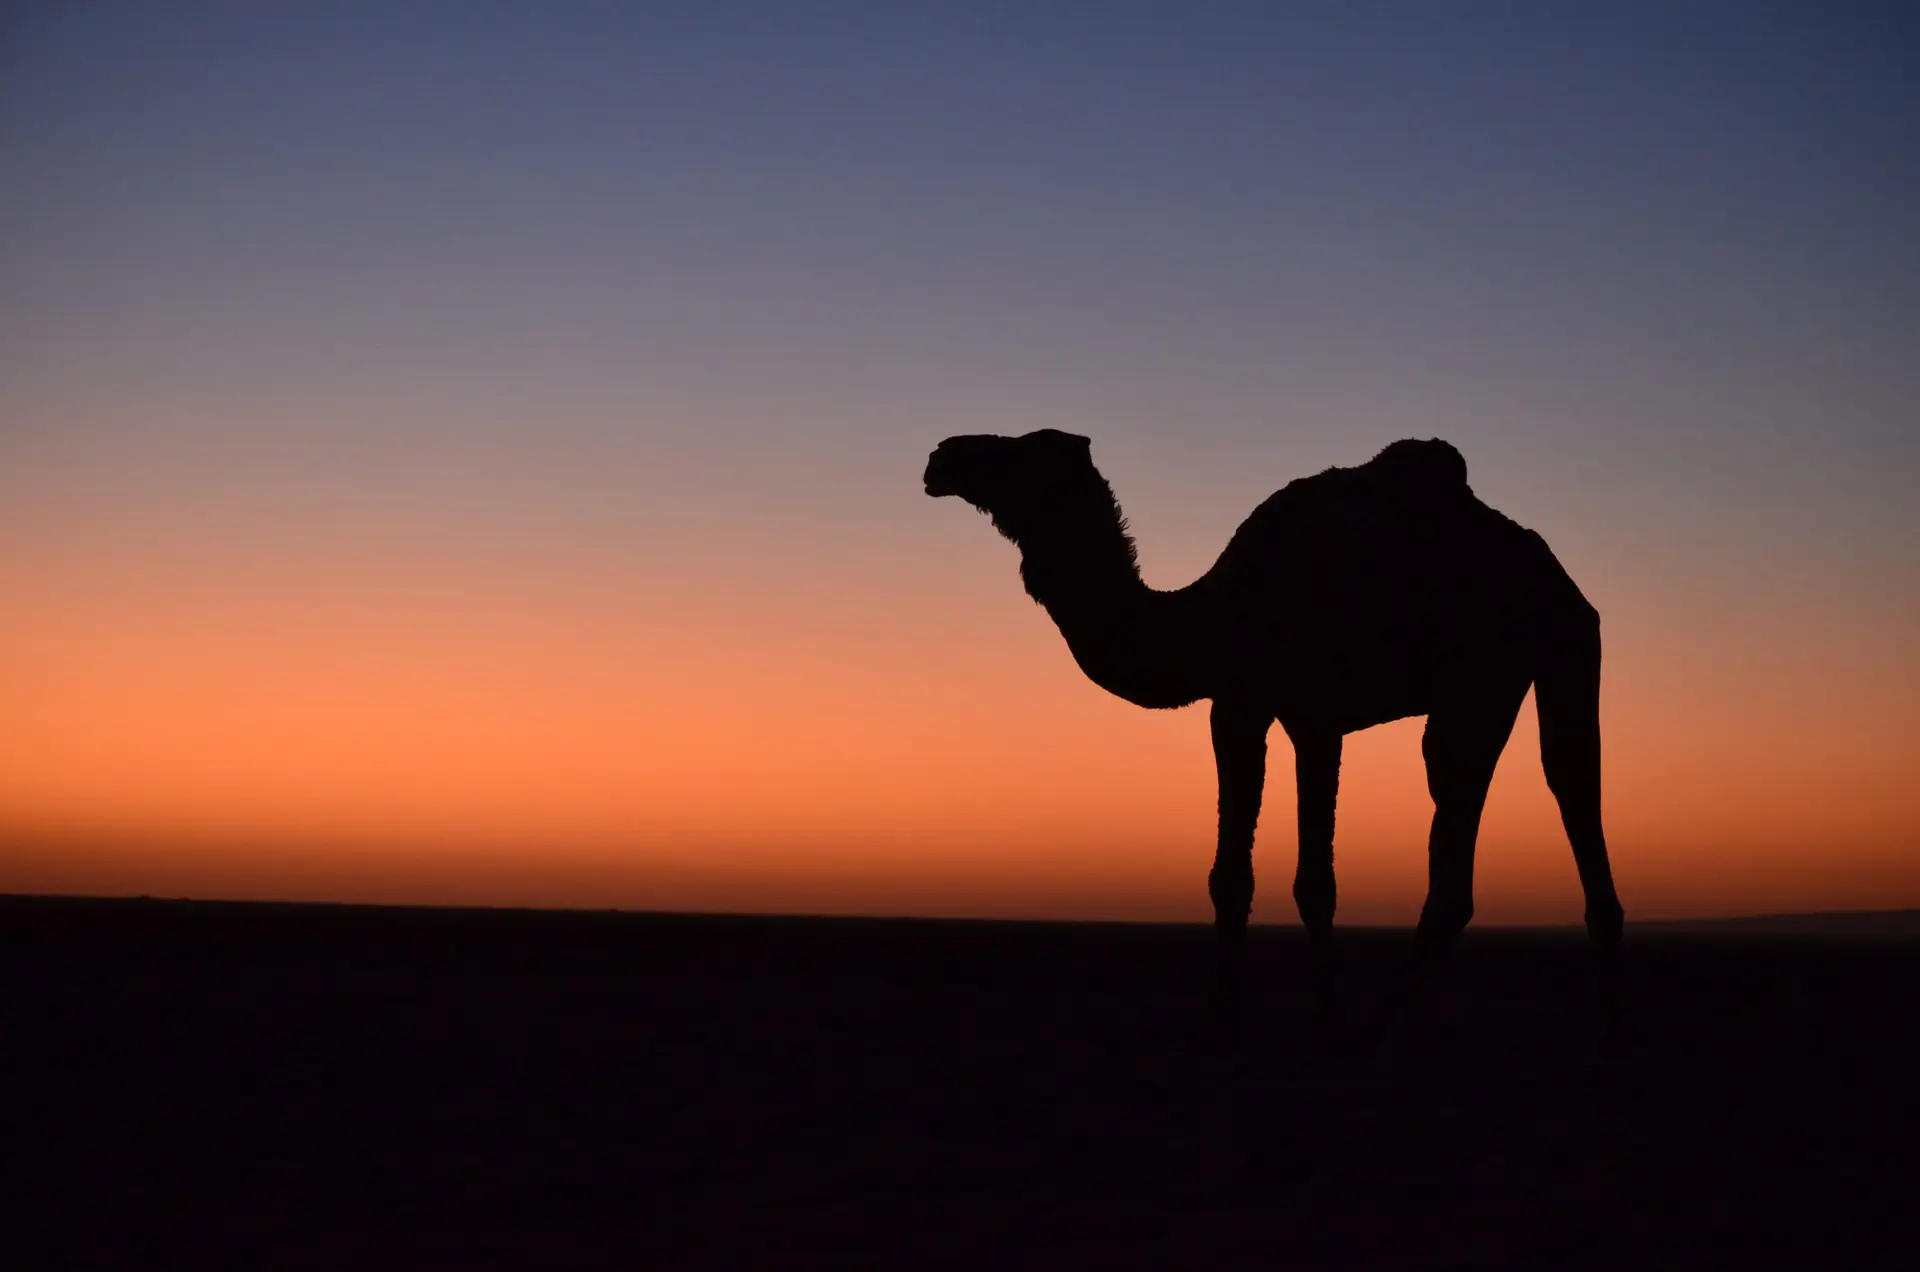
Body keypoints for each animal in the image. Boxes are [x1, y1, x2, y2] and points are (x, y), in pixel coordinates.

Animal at [925, 434, 1620, 1045]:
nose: (941, 457)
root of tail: (1555, 578)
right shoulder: (1283, 714)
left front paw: (1247, 1025)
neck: (1208, 619)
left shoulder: (1265, 707)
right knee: (1571, 780)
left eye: (1022, 453)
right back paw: (1600, 1025)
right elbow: (1277, 880)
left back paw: (1377, 1031)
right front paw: (1286, 1022)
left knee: (1458, 843)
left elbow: (1268, 877)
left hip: (1477, 680)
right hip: (1562, 654)